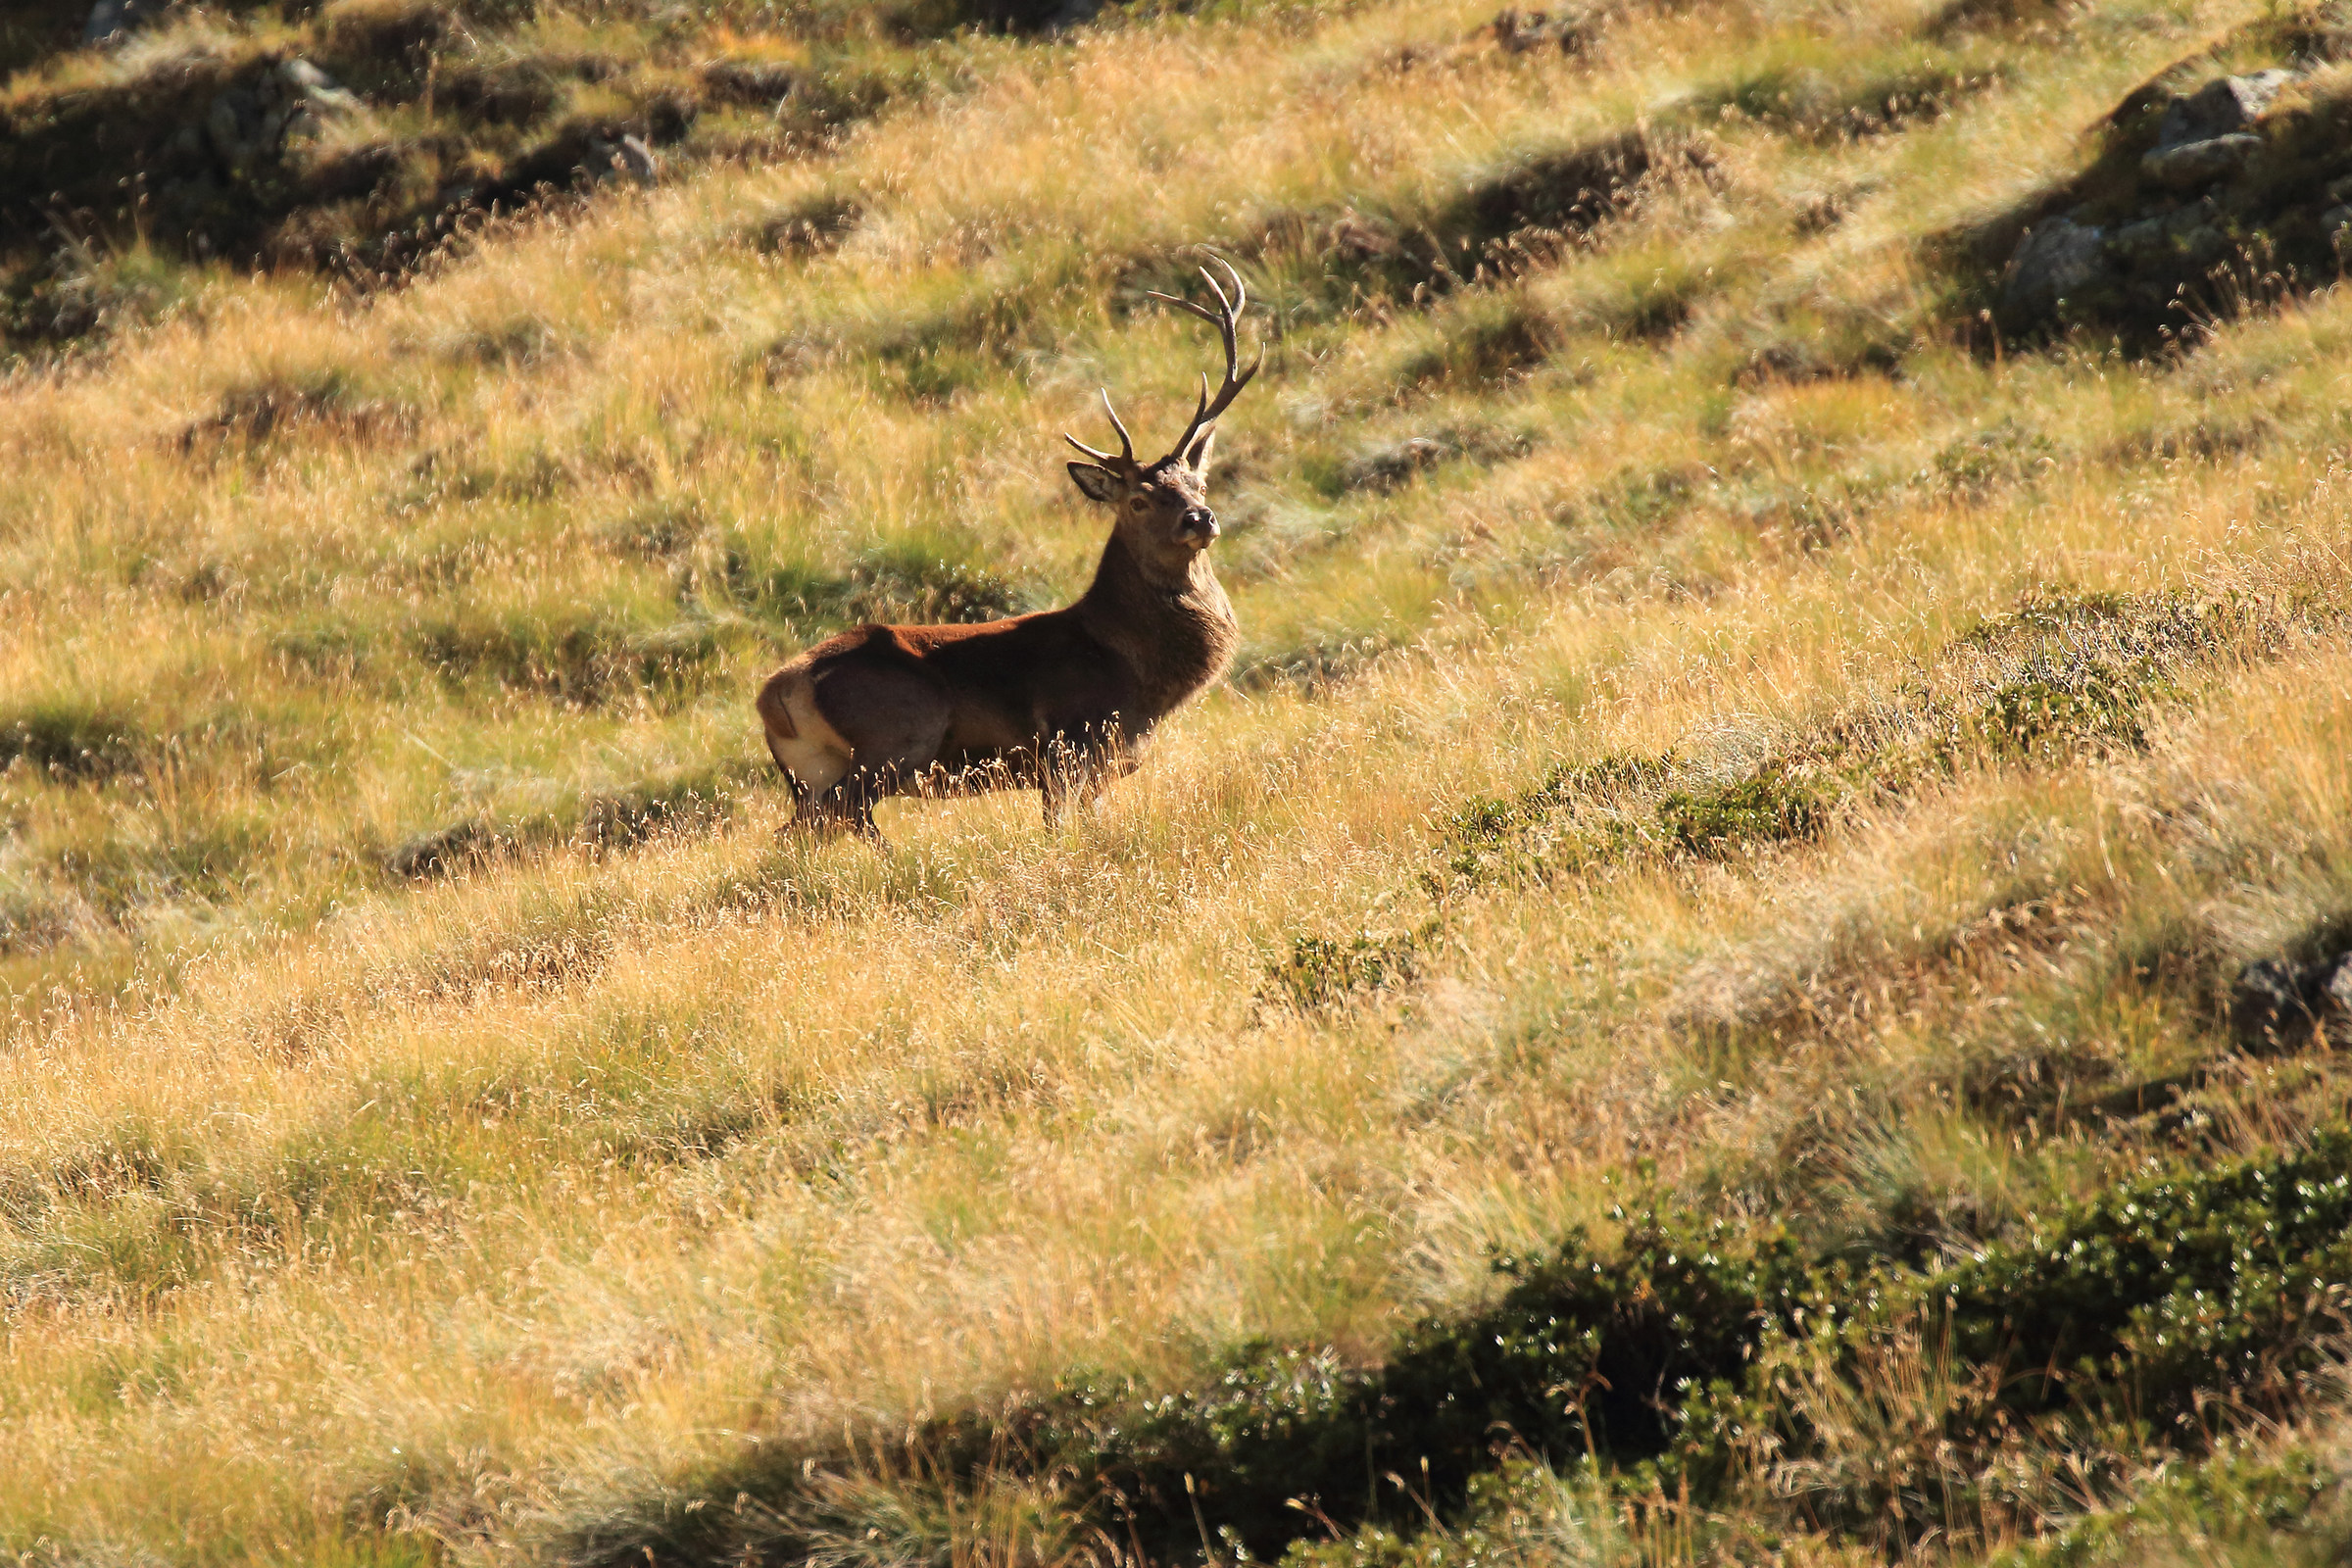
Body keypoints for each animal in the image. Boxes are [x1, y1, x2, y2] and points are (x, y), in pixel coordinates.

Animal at [755, 259, 1262, 840]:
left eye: (1198, 484)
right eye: (1137, 500)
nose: (1199, 518)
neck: (1135, 672)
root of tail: (775, 694)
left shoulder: (1103, 765)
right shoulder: (1067, 744)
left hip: (812, 769)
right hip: (897, 738)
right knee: (839, 817)